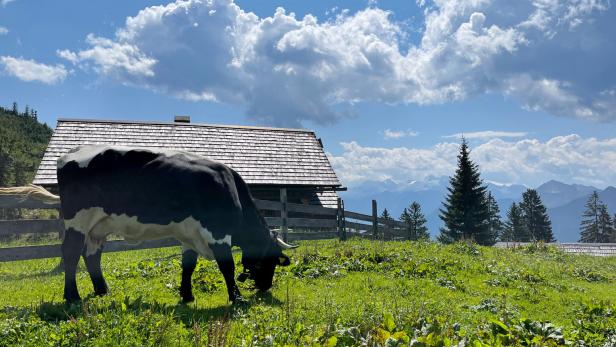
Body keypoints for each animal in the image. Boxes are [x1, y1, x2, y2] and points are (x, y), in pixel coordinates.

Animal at [53, 145, 294, 304]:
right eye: (271, 262)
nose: (265, 286)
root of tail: (71, 153)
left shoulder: (190, 235)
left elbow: (188, 266)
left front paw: (187, 295)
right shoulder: (217, 233)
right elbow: (227, 266)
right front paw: (237, 297)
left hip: (99, 226)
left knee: (92, 255)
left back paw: (102, 290)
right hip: (78, 220)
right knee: (71, 252)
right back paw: (72, 296)